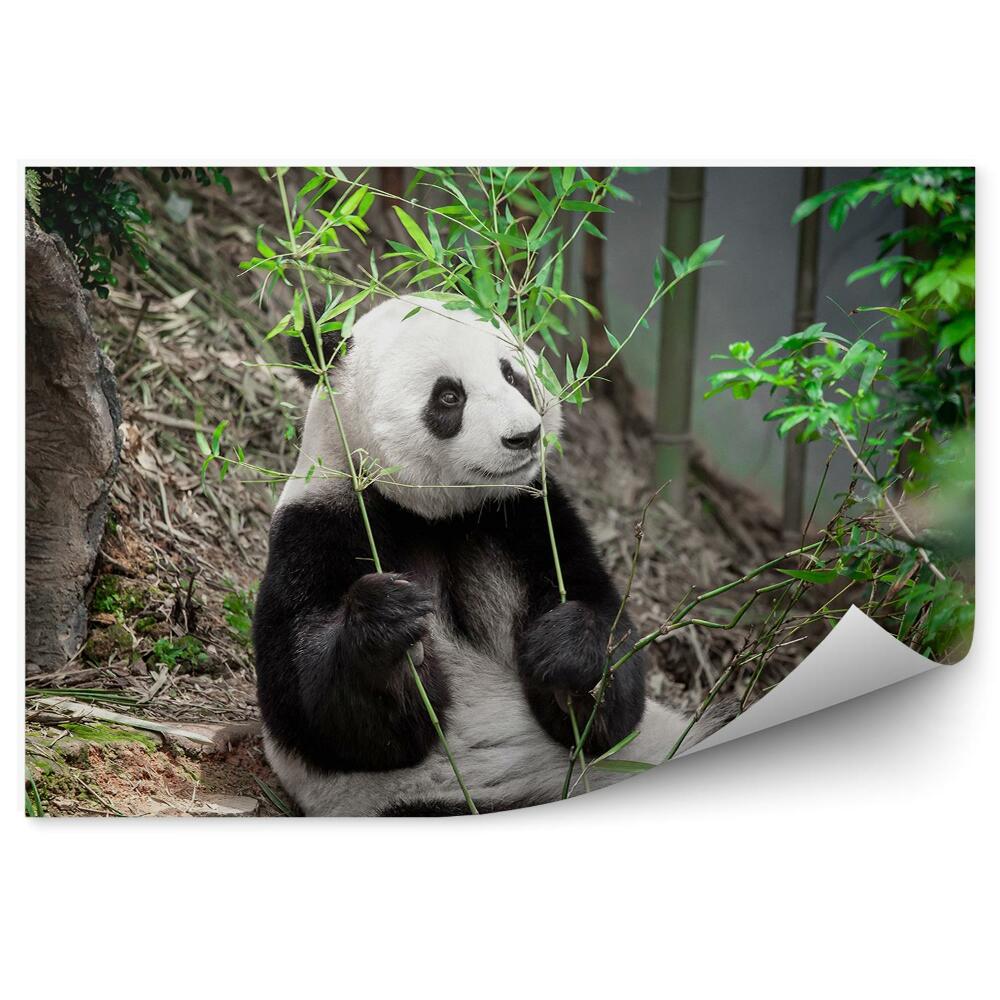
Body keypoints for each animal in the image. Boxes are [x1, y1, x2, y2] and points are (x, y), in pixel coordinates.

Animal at [253, 295, 733, 816]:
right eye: (449, 396)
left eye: (512, 374)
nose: (525, 436)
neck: (440, 515)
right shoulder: (319, 530)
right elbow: (318, 715)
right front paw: (388, 622)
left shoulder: (531, 518)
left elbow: (610, 675)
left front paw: (568, 648)